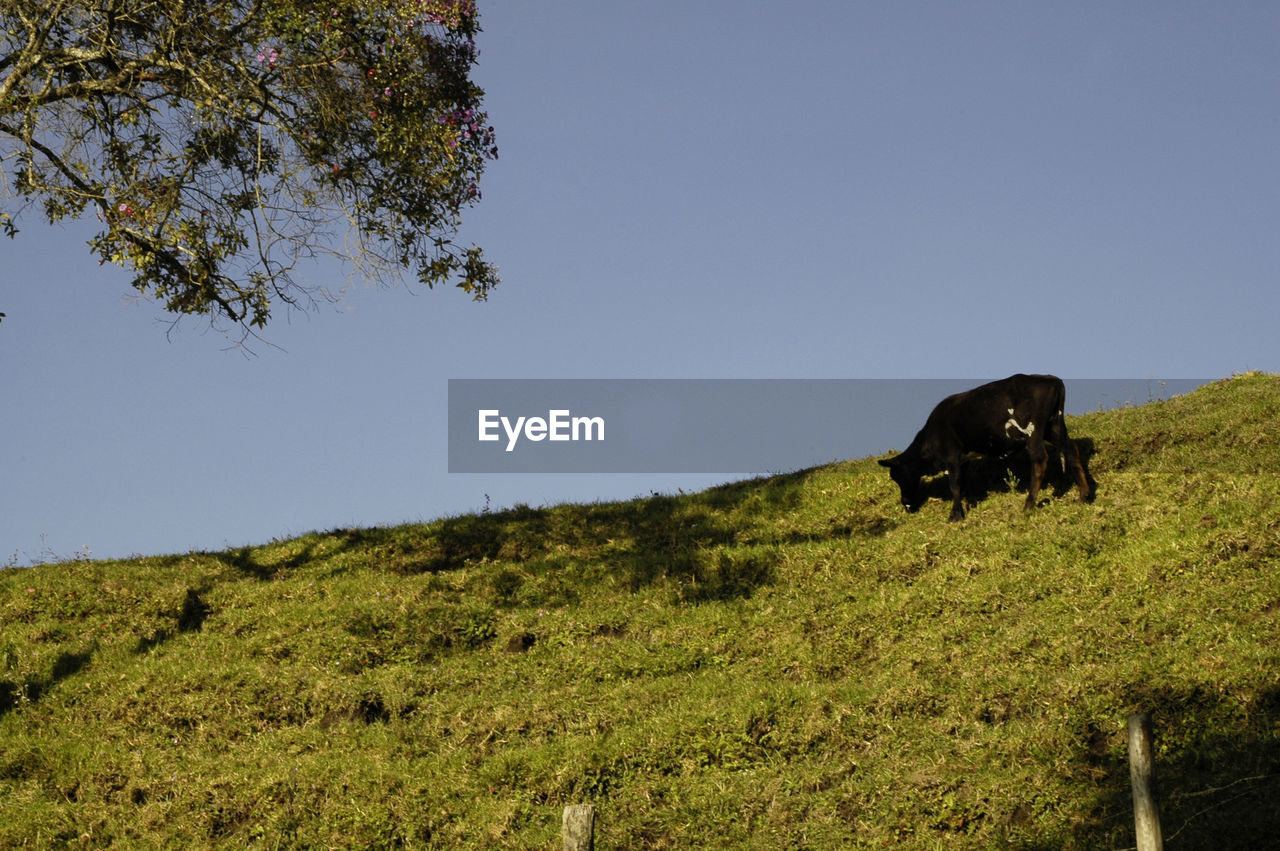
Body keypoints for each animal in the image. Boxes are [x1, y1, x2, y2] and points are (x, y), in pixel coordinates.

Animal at [880, 376, 1090, 522]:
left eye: (897, 476)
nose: (905, 503)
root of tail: (1051, 379)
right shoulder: (963, 459)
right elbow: (962, 484)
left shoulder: (952, 455)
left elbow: (954, 484)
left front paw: (955, 515)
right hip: (1054, 427)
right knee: (1072, 451)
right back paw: (1084, 496)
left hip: (1033, 431)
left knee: (1039, 459)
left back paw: (1029, 505)